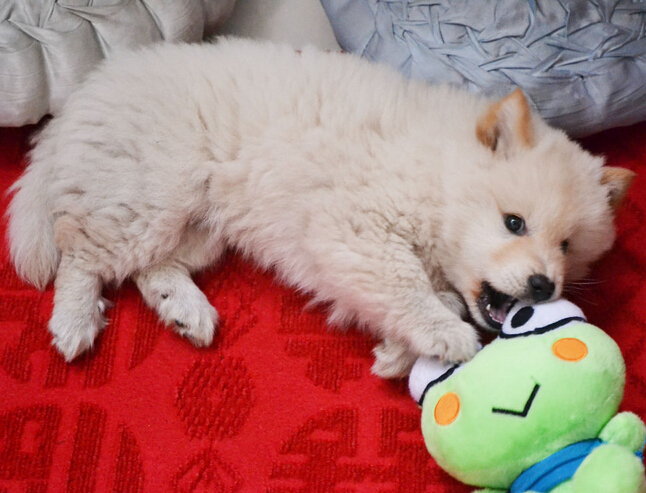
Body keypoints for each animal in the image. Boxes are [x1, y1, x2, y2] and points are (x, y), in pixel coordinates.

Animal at [7, 37, 634, 377]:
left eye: (567, 248)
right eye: (514, 222)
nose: (542, 286)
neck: (436, 171)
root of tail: (86, 94)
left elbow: (437, 295)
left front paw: (400, 352)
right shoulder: (357, 228)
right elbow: (407, 287)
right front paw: (442, 337)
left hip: (198, 225)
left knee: (146, 267)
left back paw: (184, 309)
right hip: (154, 195)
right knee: (80, 252)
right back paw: (74, 322)